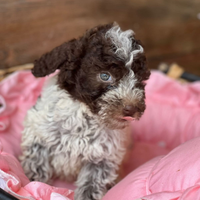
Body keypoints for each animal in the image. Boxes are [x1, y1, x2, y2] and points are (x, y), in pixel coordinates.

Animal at [20, 22, 150, 199]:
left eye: (139, 79)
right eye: (105, 76)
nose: (132, 108)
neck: (84, 116)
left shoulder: (101, 160)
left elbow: (91, 186)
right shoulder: (37, 135)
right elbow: (36, 163)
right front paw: (32, 183)